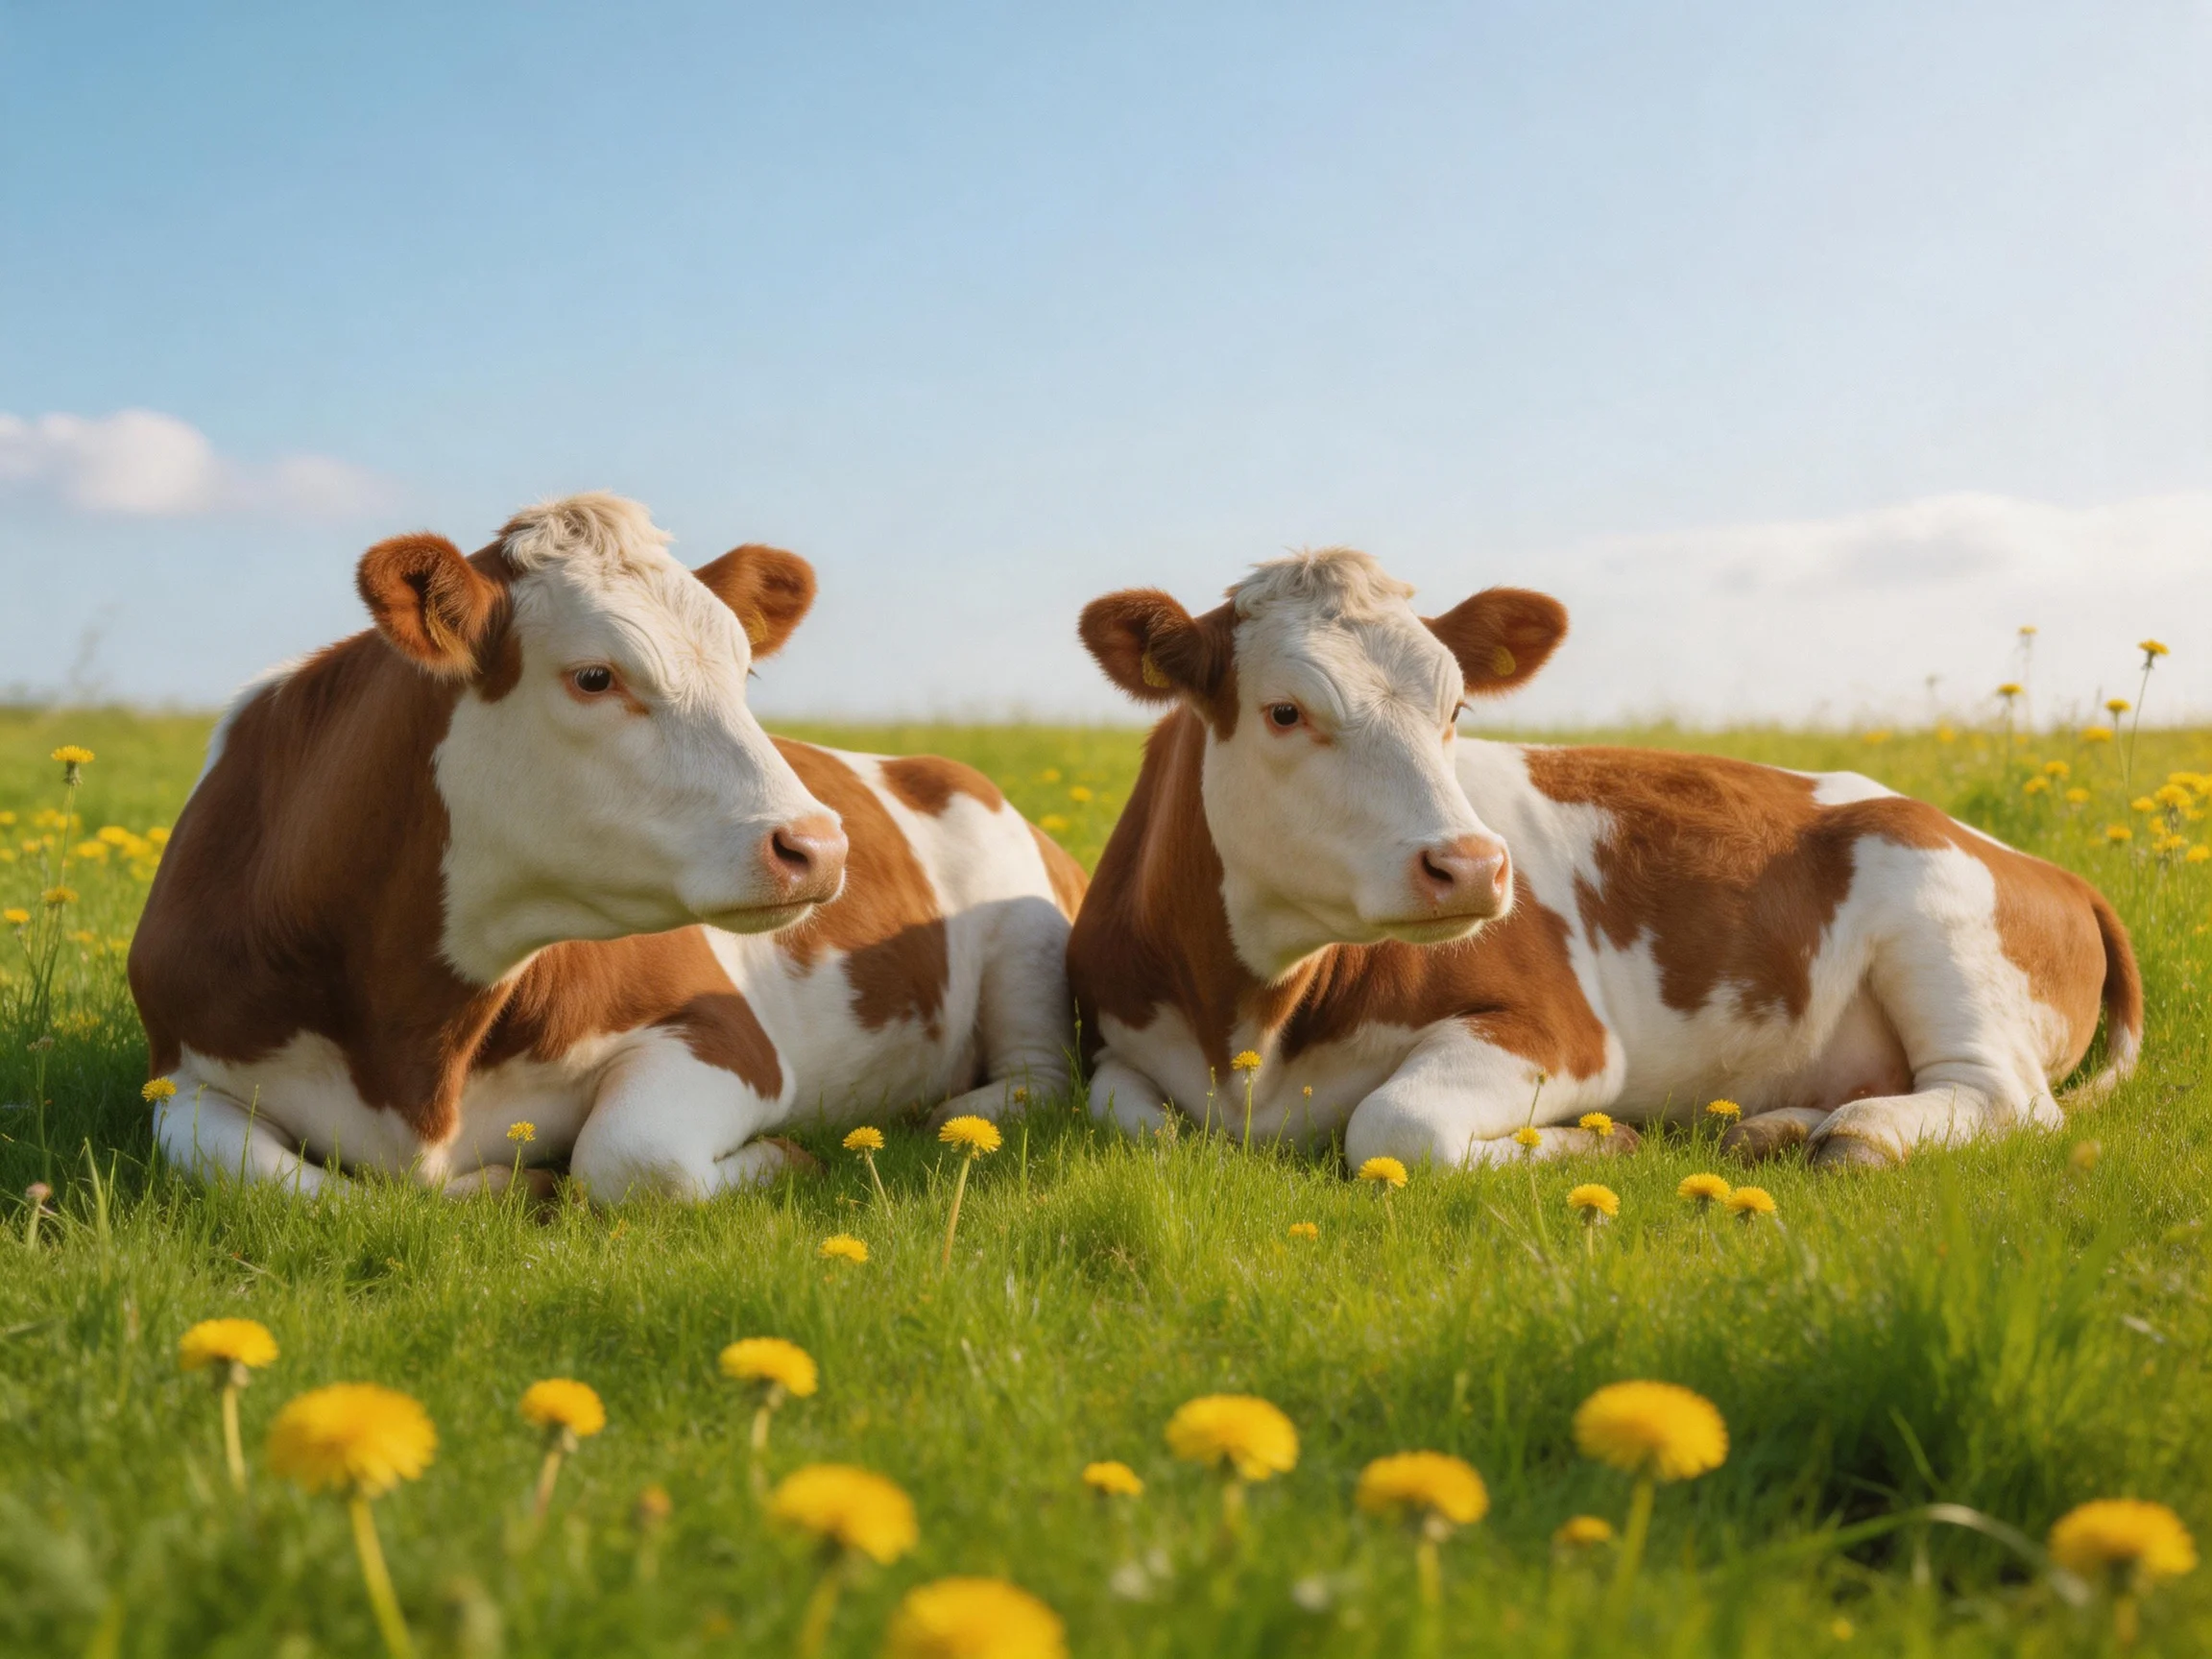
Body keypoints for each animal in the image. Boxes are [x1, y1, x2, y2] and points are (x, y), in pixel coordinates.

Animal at [130, 493, 1085, 1199]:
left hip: (1028, 934)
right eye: (595, 676)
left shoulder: (722, 1034)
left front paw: (785, 1157)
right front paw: (495, 1187)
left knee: (1037, 1077)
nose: (818, 845)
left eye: (743, 673)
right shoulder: (183, 1074)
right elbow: (270, 1179)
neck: (414, 1040)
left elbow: (629, 1159)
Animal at [1066, 549, 2140, 1171]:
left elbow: (1393, 1127)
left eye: (1456, 707)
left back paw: (1859, 1136)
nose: (1473, 866)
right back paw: (1777, 1126)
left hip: (1934, 907)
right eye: (1286, 711)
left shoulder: (1564, 1033)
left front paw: (1594, 1143)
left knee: (2003, 1097)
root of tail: (2058, 871)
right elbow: (1135, 1122)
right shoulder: (1115, 1040)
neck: (1251, 1027)